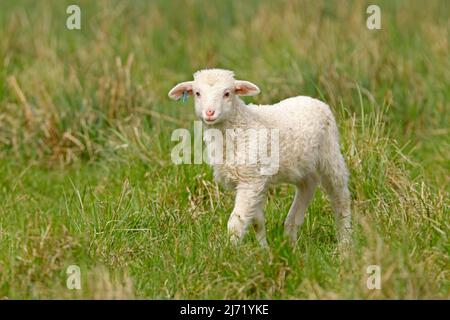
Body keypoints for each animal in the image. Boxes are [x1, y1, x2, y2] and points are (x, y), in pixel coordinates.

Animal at [169, 68, 352, 248]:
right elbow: (257, 221)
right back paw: (290, 241)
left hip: (330, 153)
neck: (240, 125)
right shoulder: (250, 180)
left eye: (227, 93)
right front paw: (264, 250)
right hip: (302, 166)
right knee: (307, 186)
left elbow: (236, 222)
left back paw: (345, 242)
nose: (209, 112)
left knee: (340, 197)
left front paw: (229, 252)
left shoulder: (250, 179)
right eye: (197, 93)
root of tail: (314, 100)